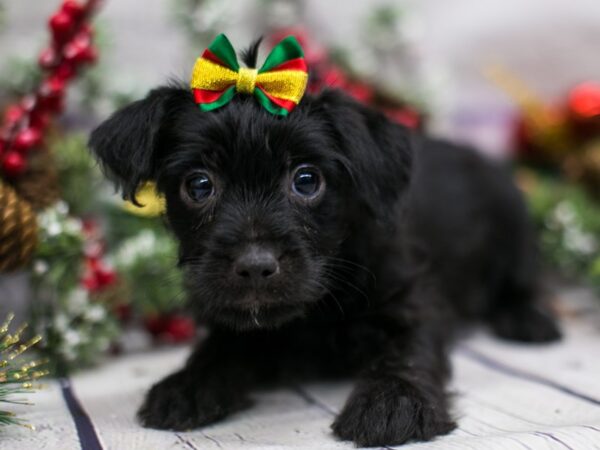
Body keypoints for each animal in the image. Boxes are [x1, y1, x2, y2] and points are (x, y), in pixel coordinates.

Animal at [90, 51, 564, 444]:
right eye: (199, 185)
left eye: (306, 180)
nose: (255, 265)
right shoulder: (233, 316)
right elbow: (219, 347)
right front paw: (188, 384)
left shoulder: (413, 299)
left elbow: (409, 351)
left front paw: (393, 403)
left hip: (515, 229)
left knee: (521, 282)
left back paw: (528, 318)